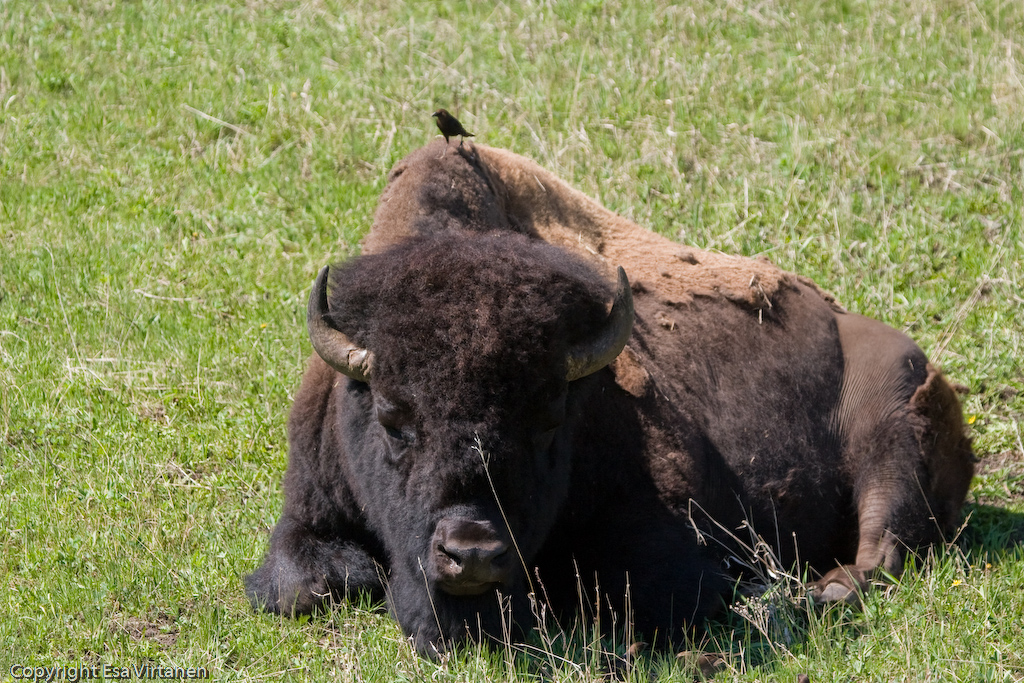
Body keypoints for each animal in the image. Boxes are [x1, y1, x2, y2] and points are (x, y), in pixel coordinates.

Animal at [246, 141, 974, 657]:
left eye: (548, 417)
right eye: (394, 419)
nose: (472, 552)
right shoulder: (305, 518)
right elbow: (302, 586)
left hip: (891, 437)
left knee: (883, 548)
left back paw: (823, 590)